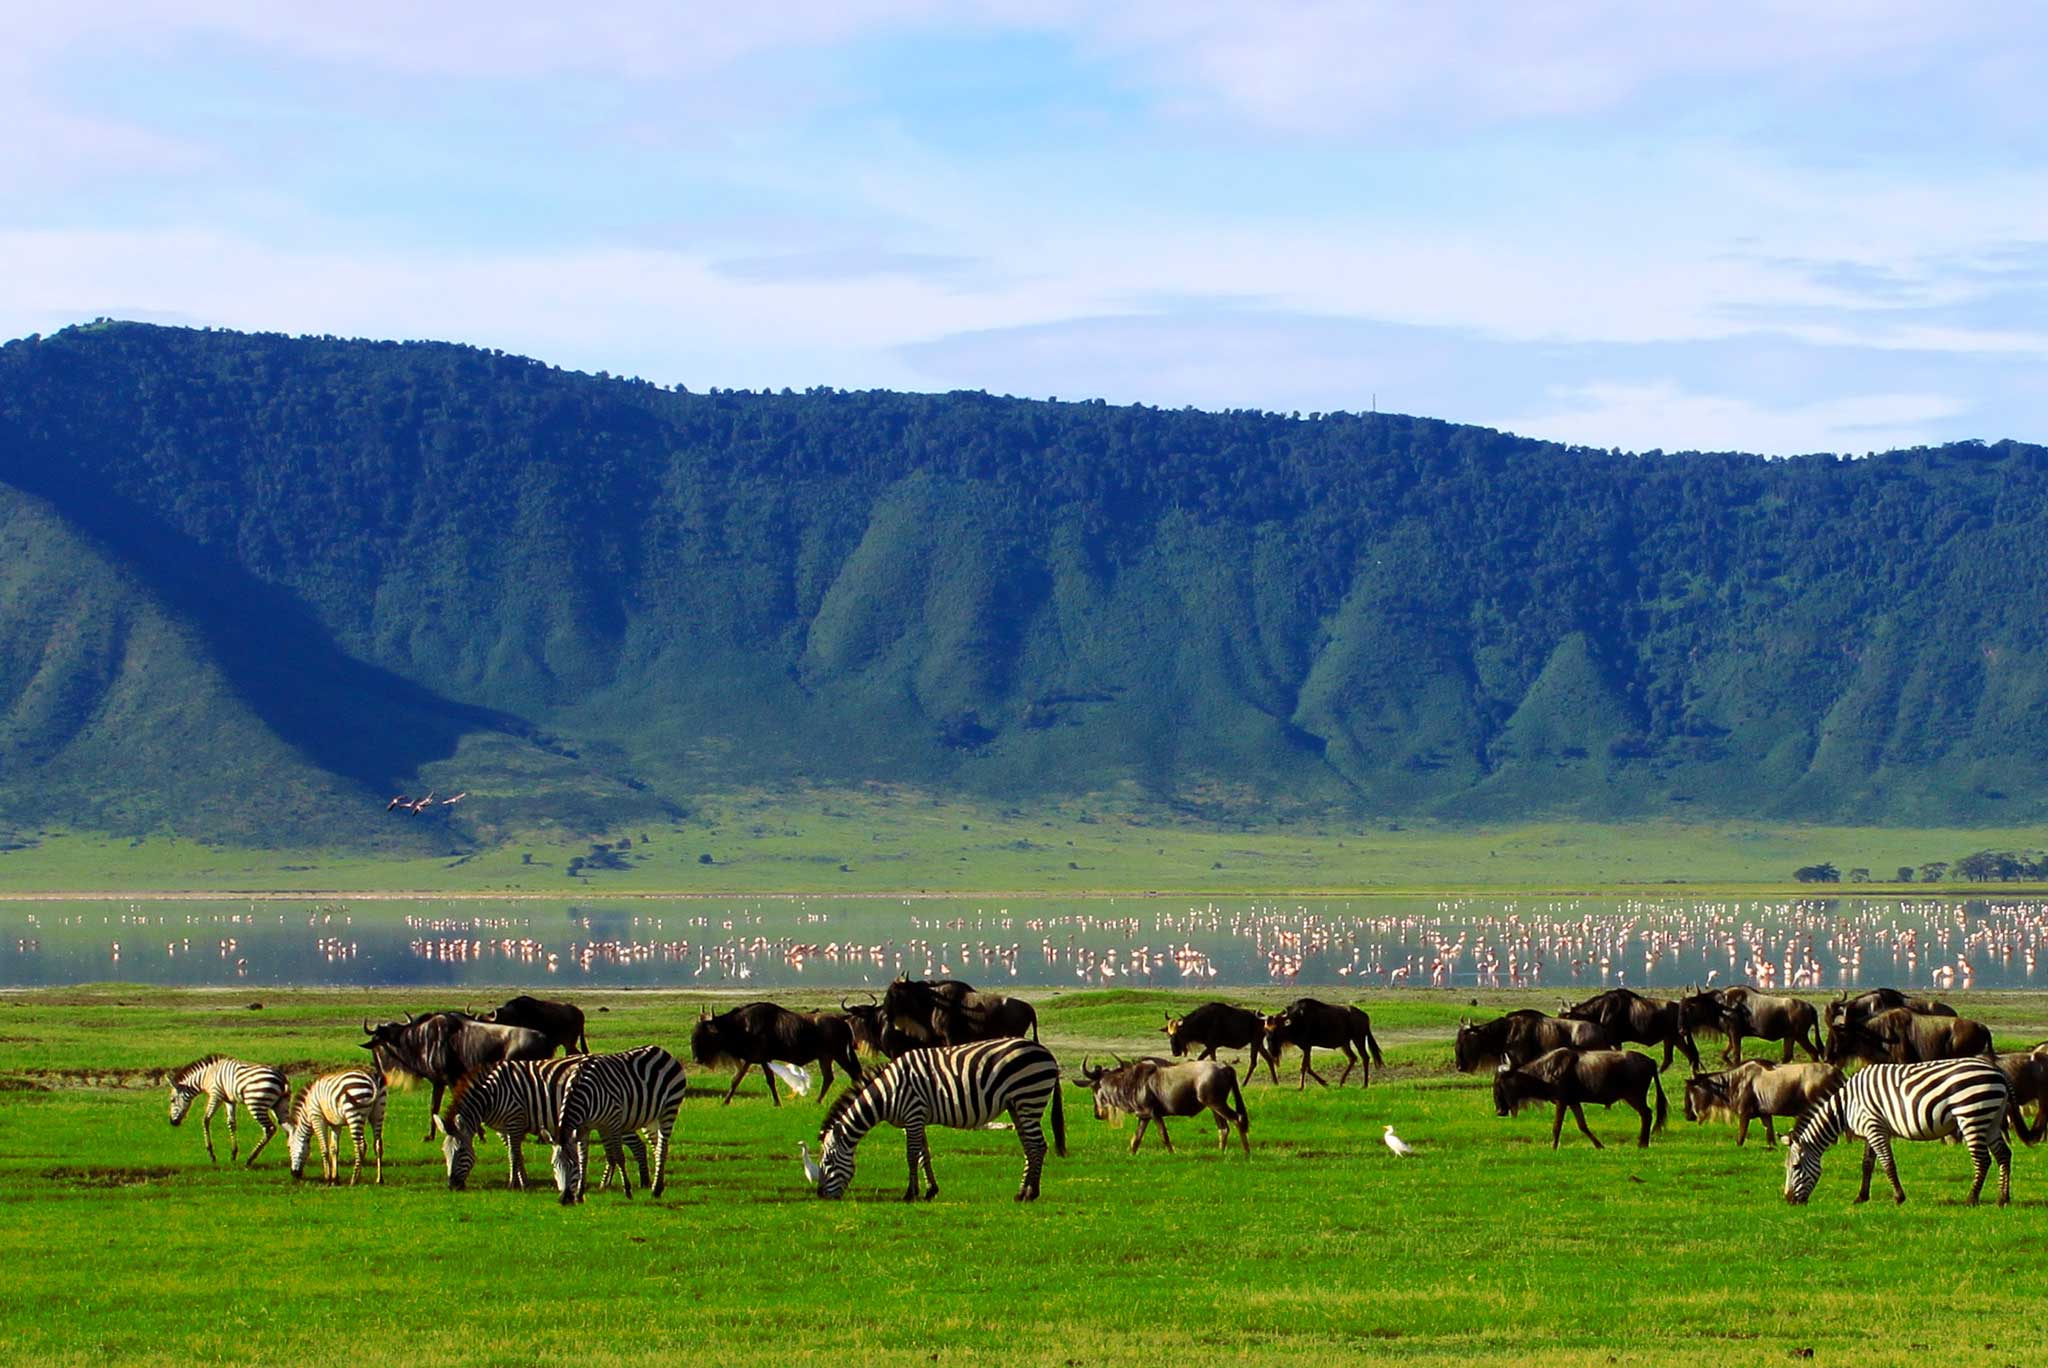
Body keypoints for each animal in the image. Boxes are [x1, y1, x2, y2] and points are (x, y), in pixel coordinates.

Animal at [548, 1040, 684, 1204]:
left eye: (571, 1165)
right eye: (554, 1165)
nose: (564, 1199)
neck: (583, 1093)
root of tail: (661, 1050)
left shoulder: (612, 1122)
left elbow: (619, 1157)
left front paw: (627, 1191)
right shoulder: (586, 1127)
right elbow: (585, 1158)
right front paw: (580, 1194)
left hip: (669, 1108)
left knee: (662, 1148)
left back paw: (656, 1190)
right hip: (650, 1119)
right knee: (657, 1147)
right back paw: (658, 1185)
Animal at [815, 1036, 1073, 1195]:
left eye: (827, 1162)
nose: (820, 1195)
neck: (889, 1093)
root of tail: (1047, 1053)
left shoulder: (913, 1112)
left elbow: (911, 1155)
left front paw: (910, 1193)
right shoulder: (915, 1119)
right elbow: (923, 1155)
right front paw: (930, 1191)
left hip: (1028, 1099)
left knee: (1037, 1146)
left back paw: (1029, 1194)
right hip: (1017, 1106)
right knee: (1030, 1147)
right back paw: (1022, 1191)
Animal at [1785, 1056, 2007, 1204]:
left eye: (1795, 1167)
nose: (1789, 1200)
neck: (1846, 1105)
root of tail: (1997, 1071)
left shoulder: (1874, 1127)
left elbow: (1887, 1163)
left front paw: (1899, 1197)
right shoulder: (1870, 1129)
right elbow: (1867, 1164)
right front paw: (1861, 1197)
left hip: (1971, 1115)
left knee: (1983, 1160)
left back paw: (1971, 1199)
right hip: (1992, 1120)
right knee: (2004, 1155)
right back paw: (2003, 1198)